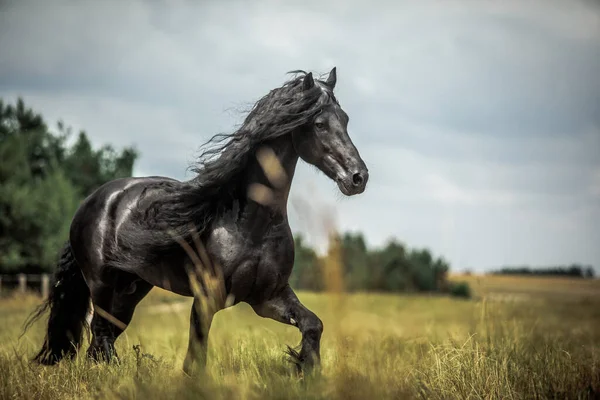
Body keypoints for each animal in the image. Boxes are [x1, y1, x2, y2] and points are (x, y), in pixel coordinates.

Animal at [25, 67, 368, 374]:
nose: (358, 177)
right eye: (319, 123)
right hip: (102, 286)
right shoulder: (207, 298)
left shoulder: (267, 297)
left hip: (129, 292)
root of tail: (92, 201)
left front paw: (306, 368)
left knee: (101, 342)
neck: (250, 224)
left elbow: (313, 325)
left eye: (346, 119)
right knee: (100, 338)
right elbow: (195, 362)